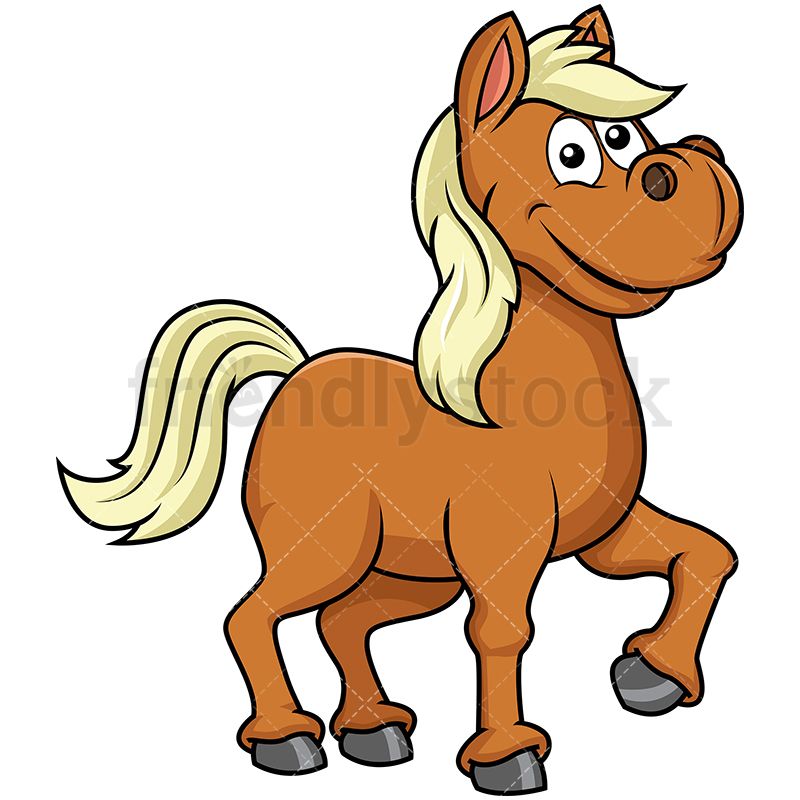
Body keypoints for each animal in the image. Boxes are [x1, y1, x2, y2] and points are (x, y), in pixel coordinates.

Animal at [59, 6, 743, 794]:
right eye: (572, 152)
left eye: (627, 136)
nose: (702, 172)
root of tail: (294, 372)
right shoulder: (502, 546)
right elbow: (502, 632)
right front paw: (509, 756)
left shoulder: (603, 533)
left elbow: (706, 552)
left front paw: (650, 675)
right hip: (325, 548)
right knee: (252, 616)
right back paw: (287, 741)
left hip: (409, 571)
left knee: (341, 623)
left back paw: (373, 730)